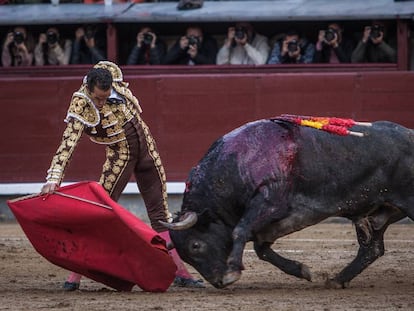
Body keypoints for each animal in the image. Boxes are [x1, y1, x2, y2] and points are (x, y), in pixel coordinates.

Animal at [163, 118, 414, 288]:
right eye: (184, 256)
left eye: (196, 245)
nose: (219, 282)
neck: (236, 164)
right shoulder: (273, 220)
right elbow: (261, 248)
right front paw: (302, 271)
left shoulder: (269, 201)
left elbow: (240, 231)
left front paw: (233, 270)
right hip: (378, 213)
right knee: (372, 249)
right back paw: (337, 280)